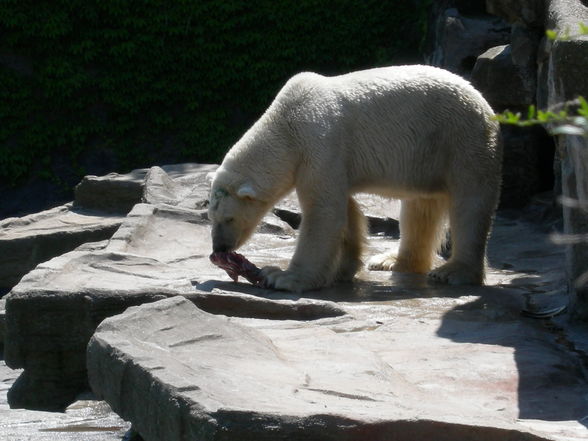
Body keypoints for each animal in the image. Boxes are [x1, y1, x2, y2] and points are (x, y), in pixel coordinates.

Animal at [207, 64, 500, 292]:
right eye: (211, 217)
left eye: (229, 218)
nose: (219, 247)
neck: (287, 125)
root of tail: (482, 100)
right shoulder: (331, 160)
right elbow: (346, 212)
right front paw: (343, 269)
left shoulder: (321, 144)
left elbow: (323, 213)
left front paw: (283, 277)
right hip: (429, 157)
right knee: (419, 209)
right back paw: (390, 260)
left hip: (461, 139)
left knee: (469, 205)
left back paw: (453, 272)